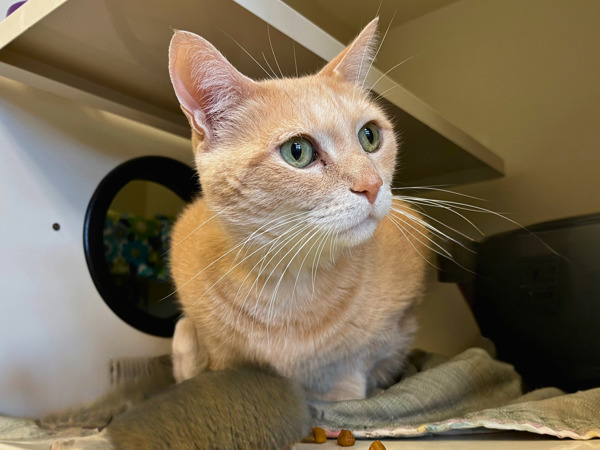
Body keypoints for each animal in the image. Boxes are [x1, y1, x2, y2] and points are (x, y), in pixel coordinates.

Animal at [169, 17, 428, 400]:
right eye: (297, 151)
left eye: (369, 136)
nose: (372, 185)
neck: (289, 284)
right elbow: (196, 347)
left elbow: (354, 369)